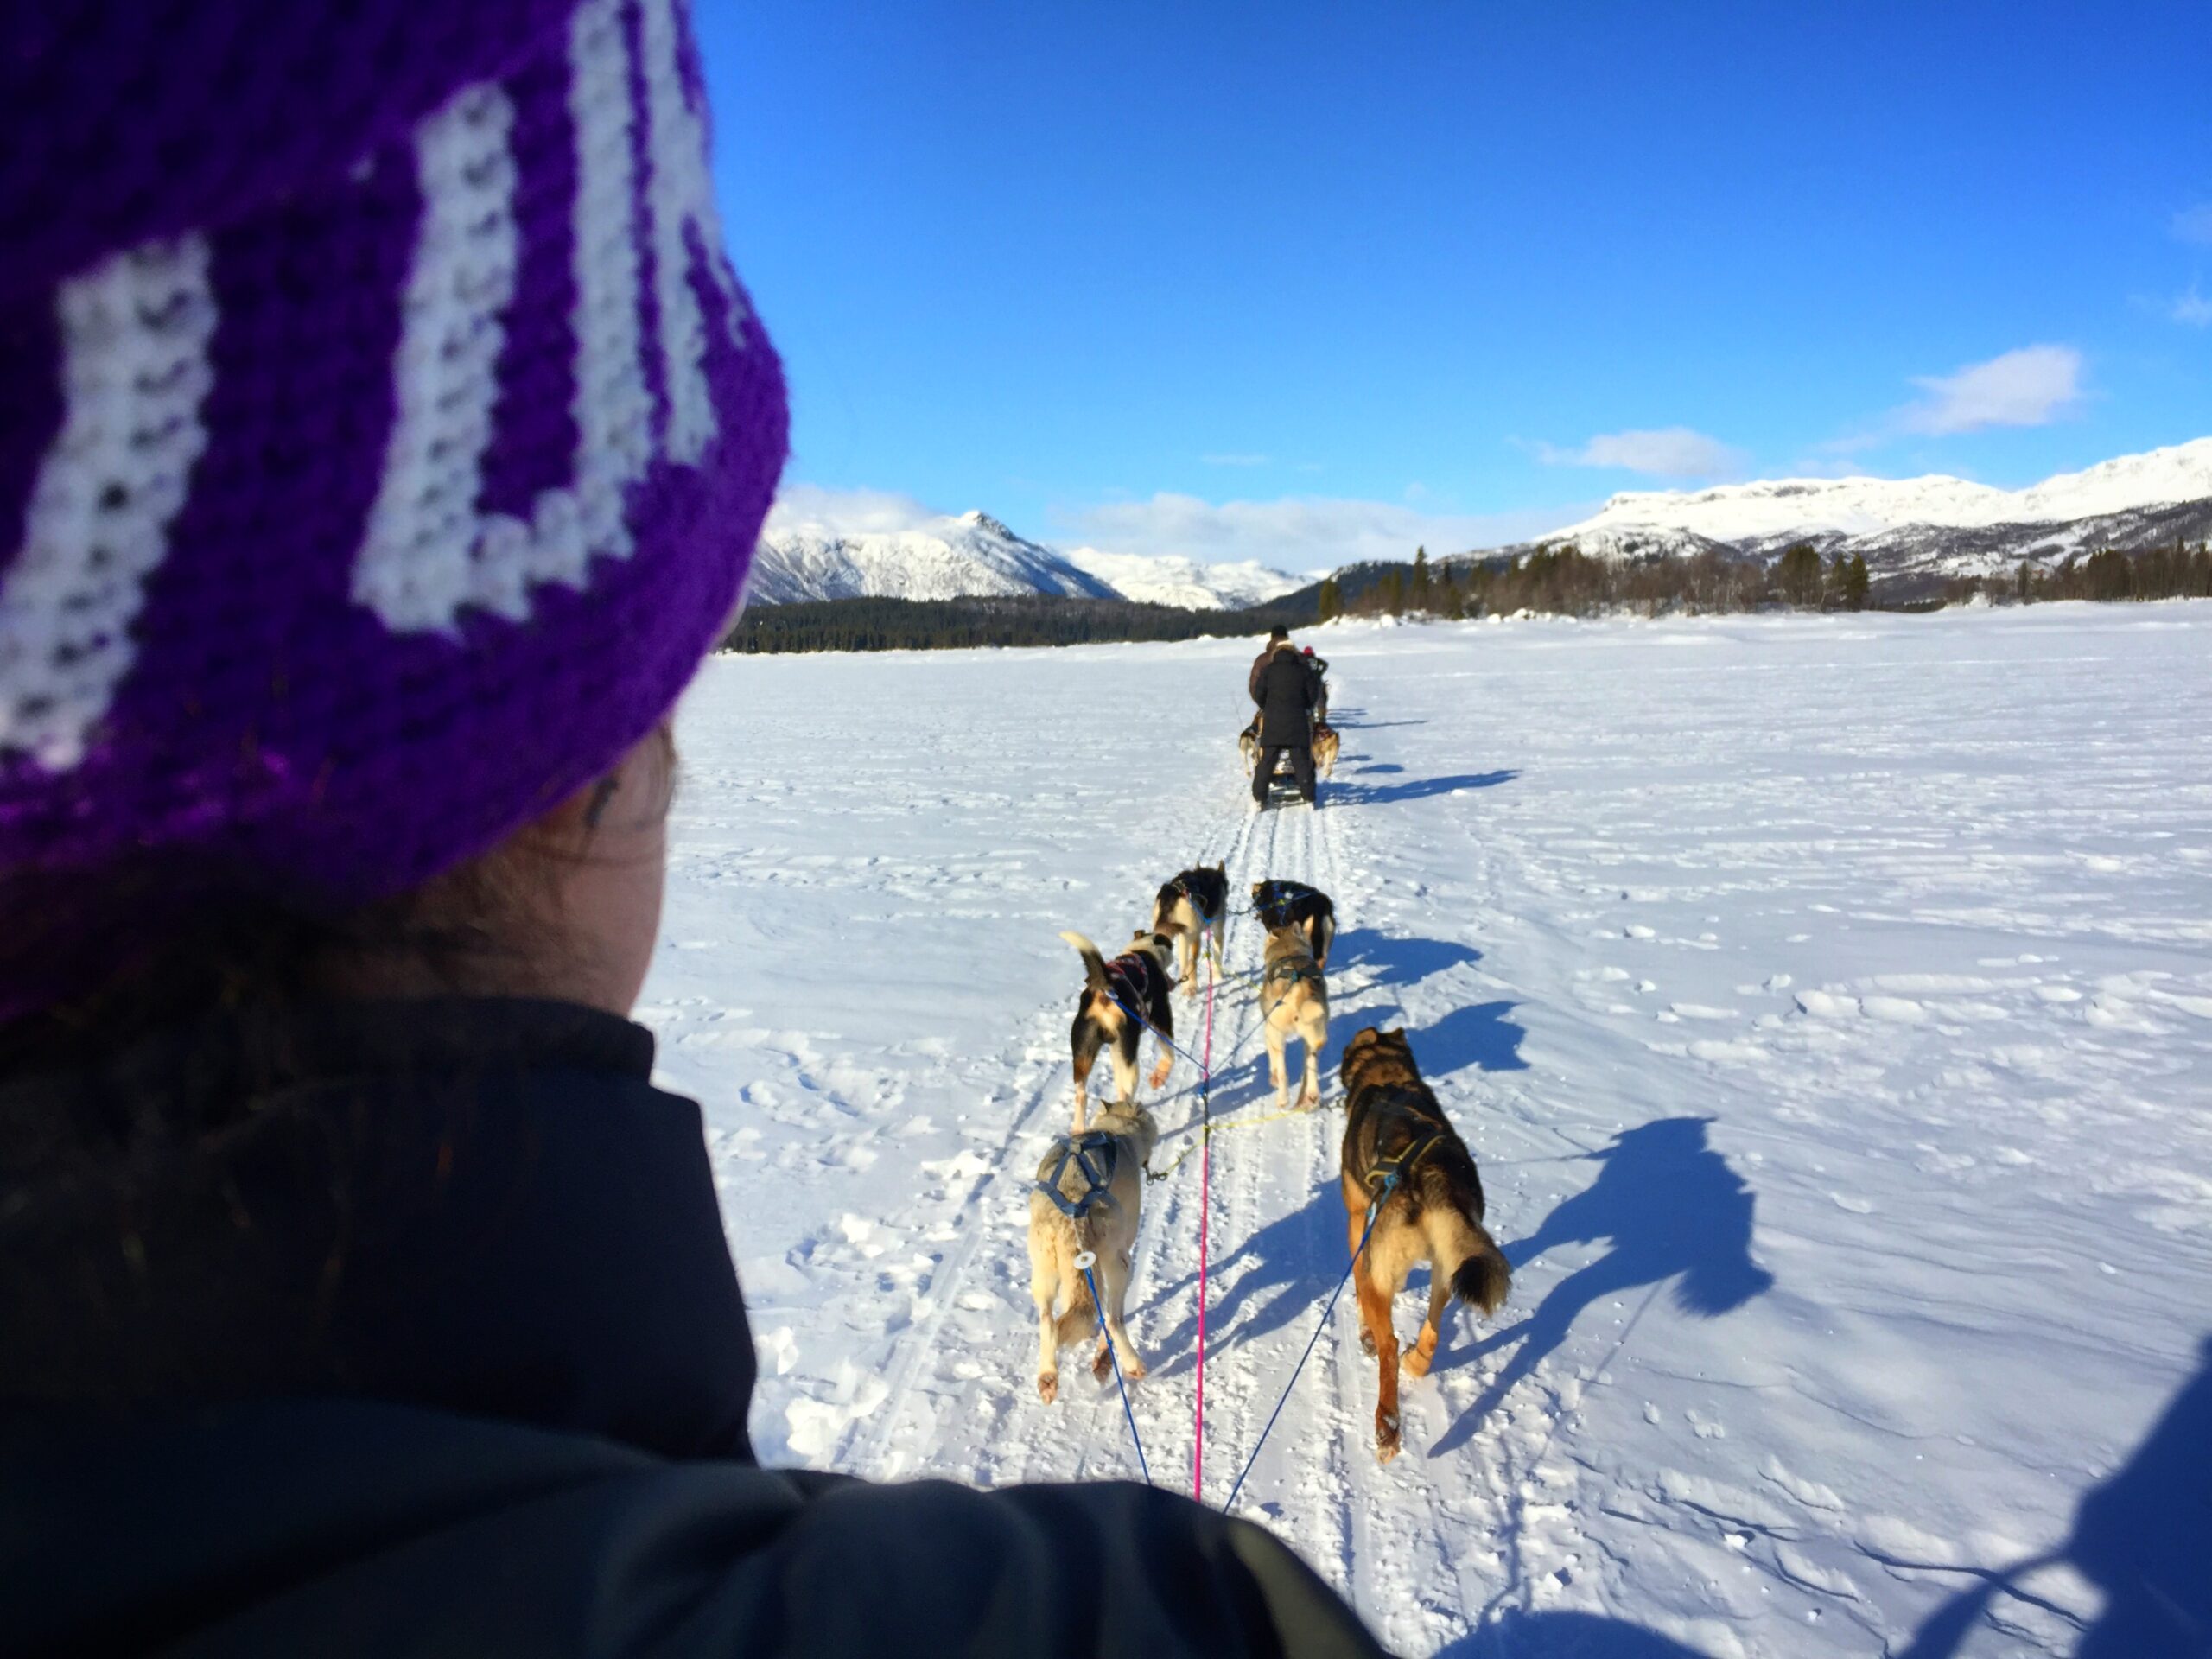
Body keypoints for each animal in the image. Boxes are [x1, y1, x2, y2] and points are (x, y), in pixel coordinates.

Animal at [1027, 1100, 1160, 1404]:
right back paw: (1129, 1363)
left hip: (1043, 1271)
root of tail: (1073, 1212)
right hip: (1119, 1263)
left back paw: (1048, 1378)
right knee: (1112, 1318)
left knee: (1049, 1323)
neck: (1114, 1132)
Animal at [1060, 929, 1175, 1132]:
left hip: (1084, 1054)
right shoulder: (1162, 1018)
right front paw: (1159, 1076)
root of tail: (1104, 992)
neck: (1143, 952)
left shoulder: (1116, 1047)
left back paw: (1078, 1129)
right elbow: (1169, 1053)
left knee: (1082, 1094)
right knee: (1125, 1094)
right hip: (1130, 1059)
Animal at [1149, 862, 1228, 997]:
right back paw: (1190, 988)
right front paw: (1219, 976)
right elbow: (1216, 956)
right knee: (1188, 964)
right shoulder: (1218, 932)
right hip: (1190, 936)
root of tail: (1171, 896)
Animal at [1259, 923, 1328, 1111]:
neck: (1288, 949)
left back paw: (1282, 1098)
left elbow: (1272, 1059)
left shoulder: (1269, 1032)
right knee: (1311, 1065)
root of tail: (1299, 987)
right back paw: (1311, 1095)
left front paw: (1273, 1077)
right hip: (1313, 1036)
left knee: (1283, 1071)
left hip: (1276, 1032)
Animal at [1338, 1027, 1510, 1463]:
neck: (1389, 1075)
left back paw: (1387, 1426)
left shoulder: (1357, 1222)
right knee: (1431, 1330)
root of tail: (1429, 1176)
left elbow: (1357, 1283)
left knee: (1388, 1344)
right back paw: (1416, 1362)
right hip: (1447, 1267)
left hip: (1382, 1267)